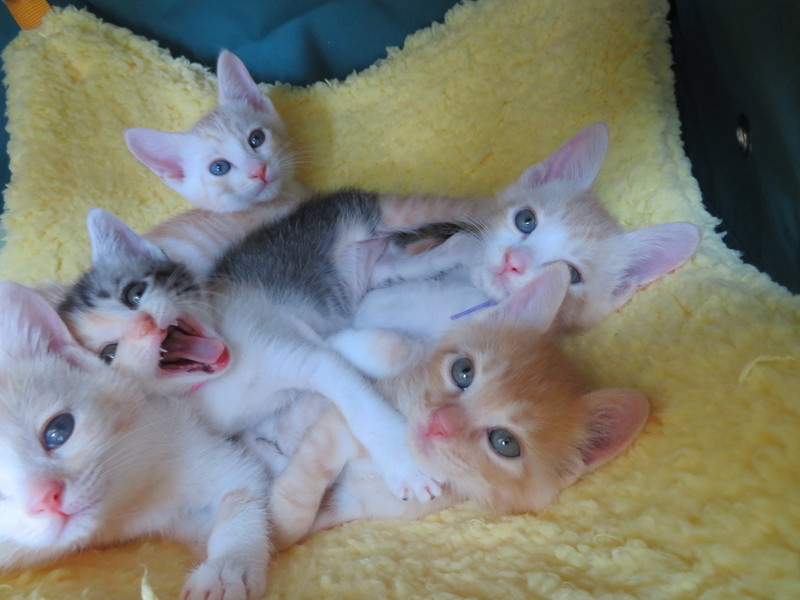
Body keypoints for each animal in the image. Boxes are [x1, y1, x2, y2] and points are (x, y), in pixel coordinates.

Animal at [59, 188, 491, 502]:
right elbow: (257, 440)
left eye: (134, 293)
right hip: (383, 271)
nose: (147, 326)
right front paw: (282, 465)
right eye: (108, 354)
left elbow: (357, 402)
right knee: (446, 249)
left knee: (470, 211)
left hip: (383, 214)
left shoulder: (297, 350)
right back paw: (473, 257)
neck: (222, 380)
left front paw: (405, 464)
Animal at [253, 263, 650, 550]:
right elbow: (397, 351)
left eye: (505, 443)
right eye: (463, 372)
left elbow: (302, 523)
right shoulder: (345, 419)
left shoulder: (367, 505)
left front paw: (276, 527)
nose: (439, 422)